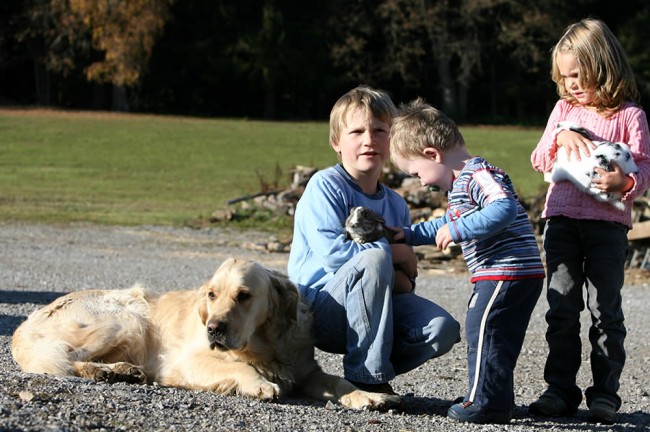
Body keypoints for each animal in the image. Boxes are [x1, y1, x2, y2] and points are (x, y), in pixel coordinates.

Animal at [12, 258, 400, 410]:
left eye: (244, 296)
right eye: (212, 295)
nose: (213, 327)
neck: (265, 345)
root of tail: (23, 325)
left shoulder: (307, 371)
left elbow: (338, 382)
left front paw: (369, 396)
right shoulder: (186, 361)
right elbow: (239, 368)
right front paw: (259, 384)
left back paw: (122, 371)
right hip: (127, 317)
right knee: (68, 360)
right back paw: (108, 372)